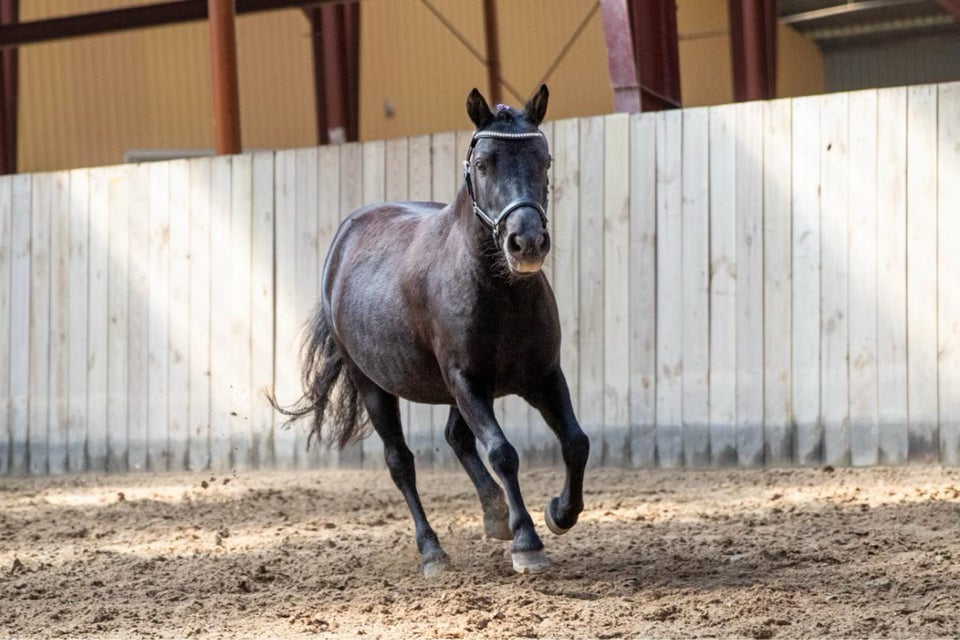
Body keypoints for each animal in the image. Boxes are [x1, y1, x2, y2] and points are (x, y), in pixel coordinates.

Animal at [274, 85, 588, 576]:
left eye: (545, 160)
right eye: (484, 163)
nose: (526, 243)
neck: (499, 289)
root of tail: (343, 239)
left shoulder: (541, 375)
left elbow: (575, 441)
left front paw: (559, 513)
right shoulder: (466, 381)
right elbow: (502, 452)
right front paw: (527, 543)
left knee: (457, 438)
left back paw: (494, 513)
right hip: (373, 386)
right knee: (400, 462)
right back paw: (433, 551)